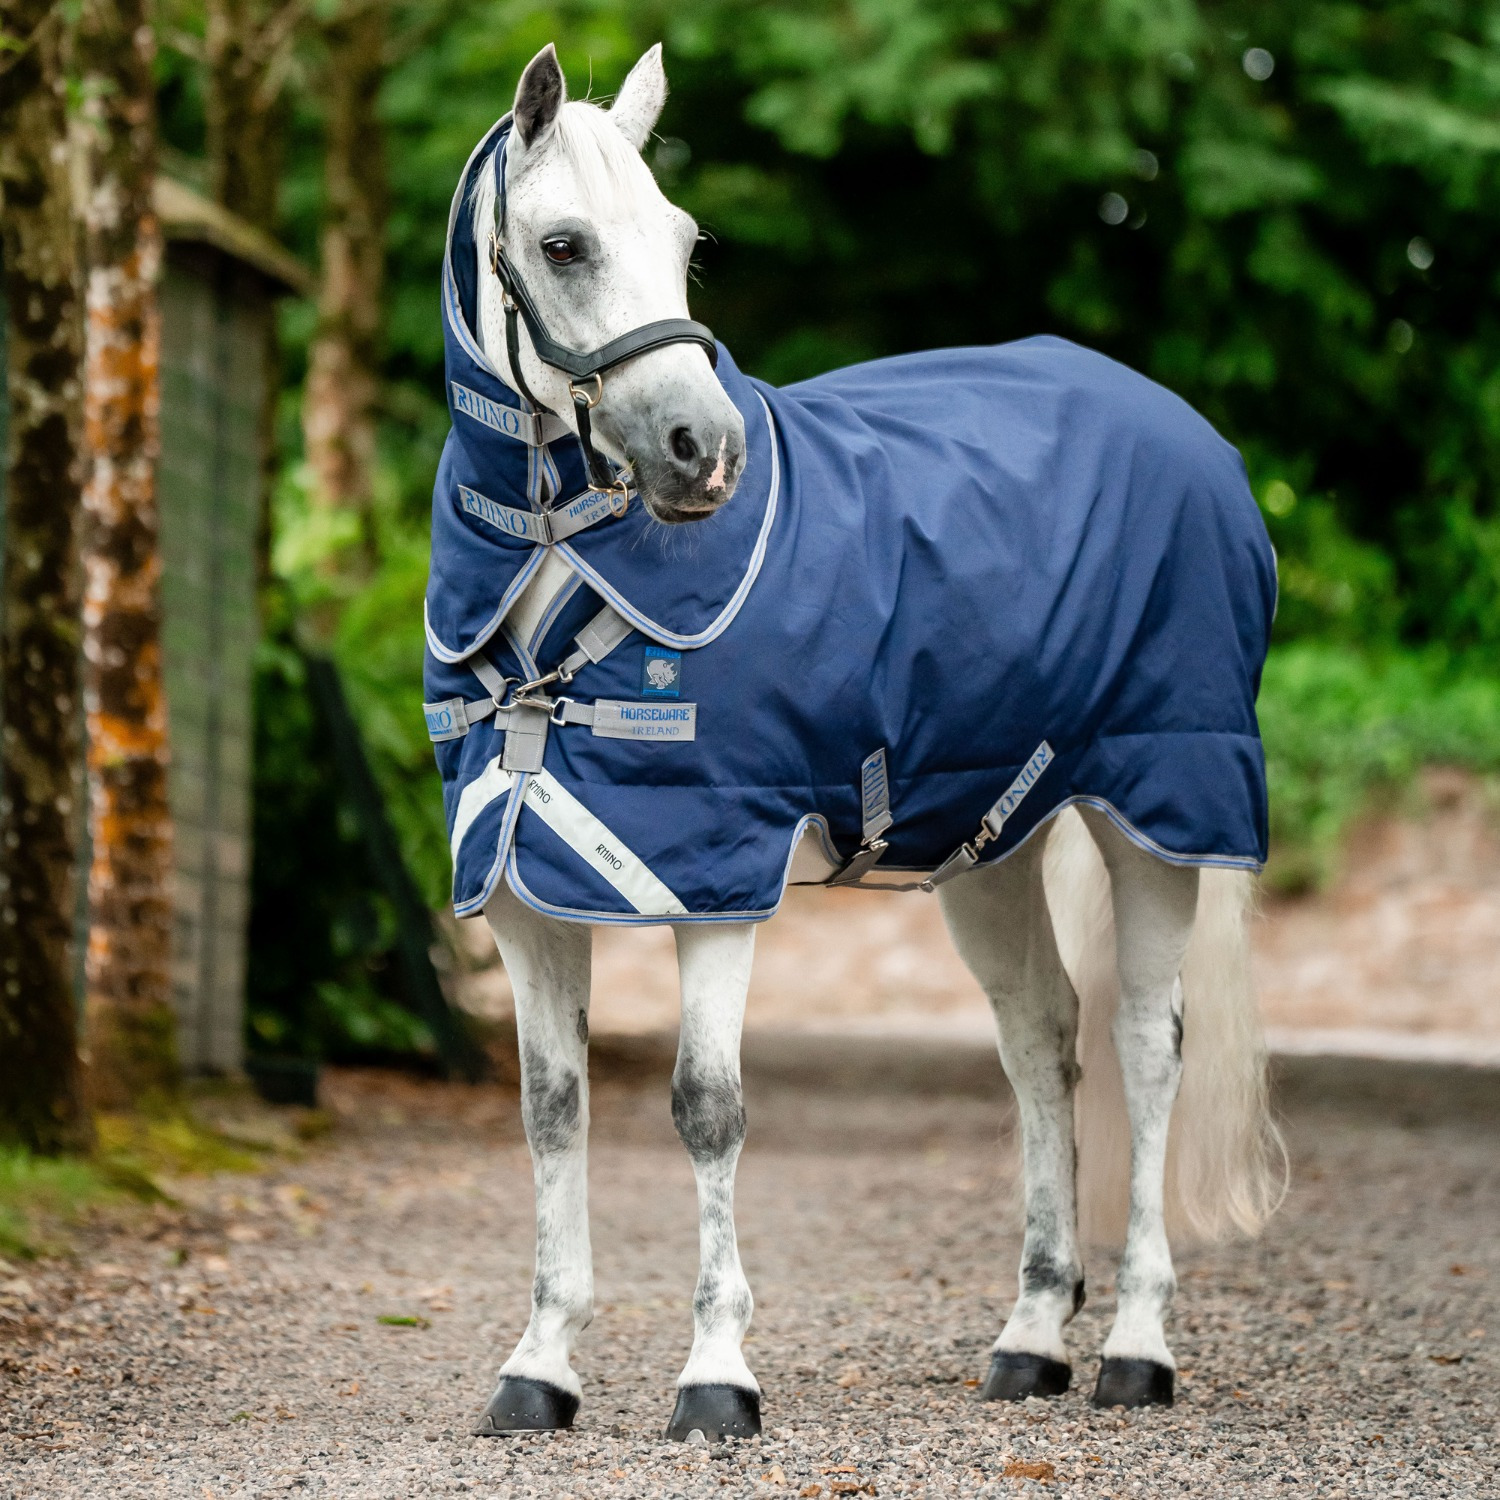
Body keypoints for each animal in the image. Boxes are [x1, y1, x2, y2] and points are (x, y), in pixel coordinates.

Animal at [424, 42, 1283, 1443]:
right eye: (562, 245)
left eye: (683, 240)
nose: (702, 454)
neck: (563, 570)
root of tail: (1191, 435)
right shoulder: (518, 887)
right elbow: (553, 1113)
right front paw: (540, 1365)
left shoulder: (715, 873)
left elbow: (706, 1108)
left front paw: (716, 1376)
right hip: (995, 844)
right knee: (1041, 1041)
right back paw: (1030, 1337)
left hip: (1161, 808)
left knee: (1148, 1049)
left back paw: (1137, 1349)